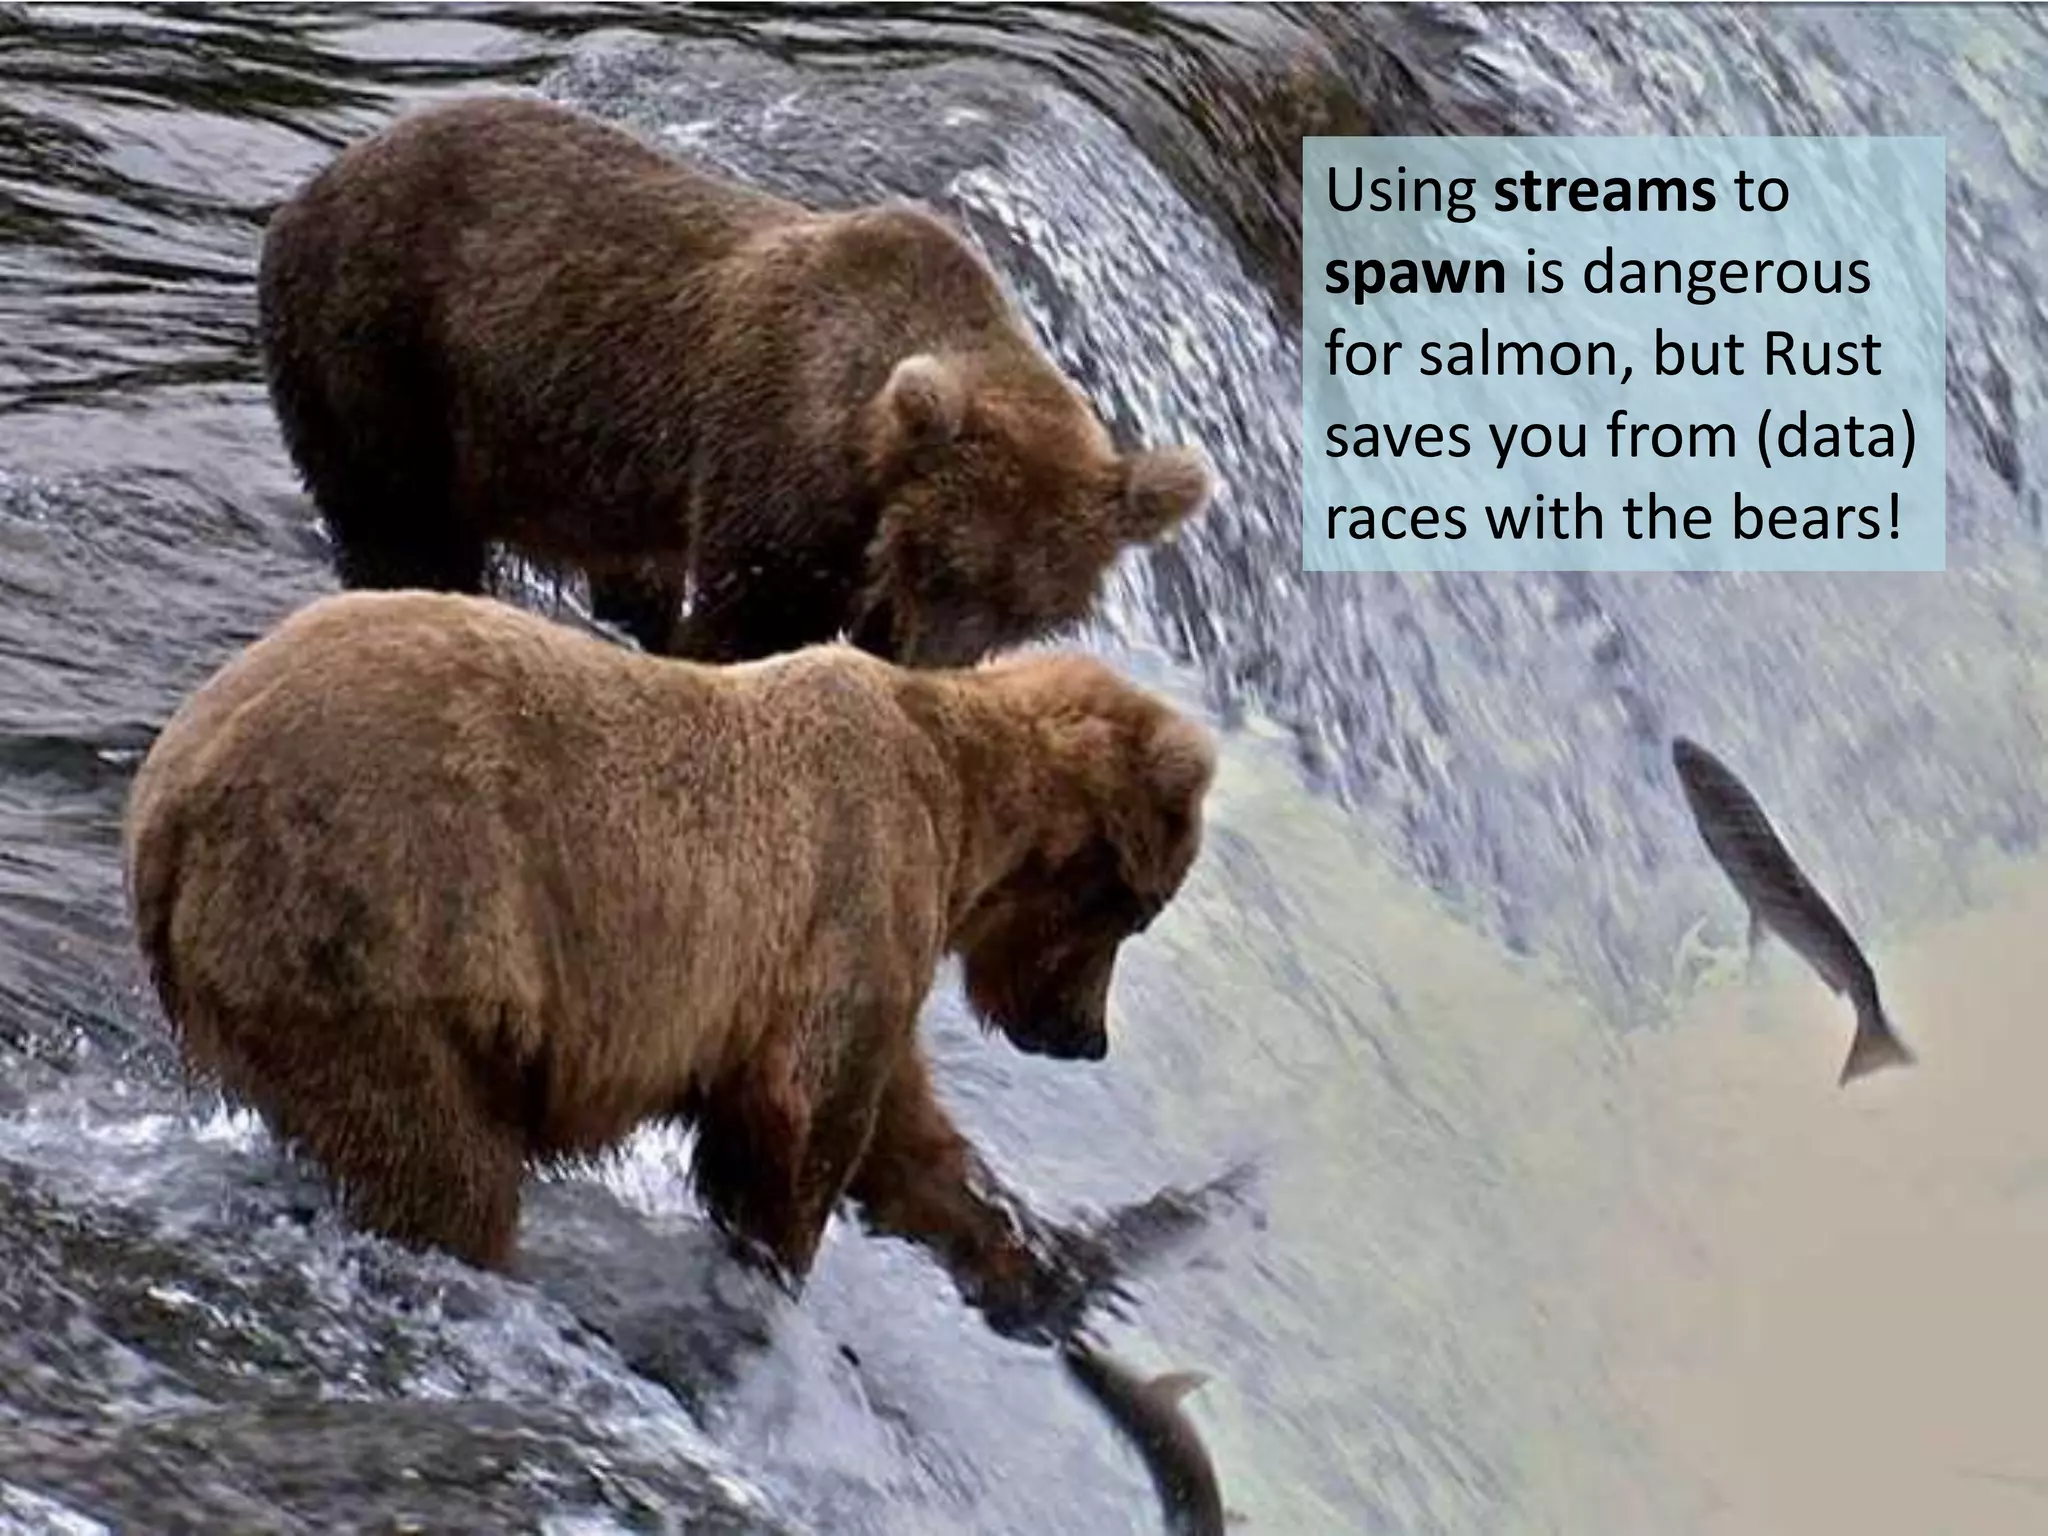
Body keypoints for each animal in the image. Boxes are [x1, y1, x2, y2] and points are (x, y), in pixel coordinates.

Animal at [123, 590, 1215, 1341]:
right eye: (1134, 913)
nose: (1084, 1038)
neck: (963, 809)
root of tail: (170, 803)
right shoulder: (855, 883)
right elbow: (807, 1117)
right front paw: (775, 1263)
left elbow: (902, 1135)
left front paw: (1021, 1257)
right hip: (379, 924)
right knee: (439, 1163)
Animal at [254, 95, 1215, 667]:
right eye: (947, 566)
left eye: (1030, 607)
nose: (936, 663)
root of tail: (310, 186)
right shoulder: (779, 466)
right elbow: (749, 619)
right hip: (380, 349)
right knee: (400, 526)